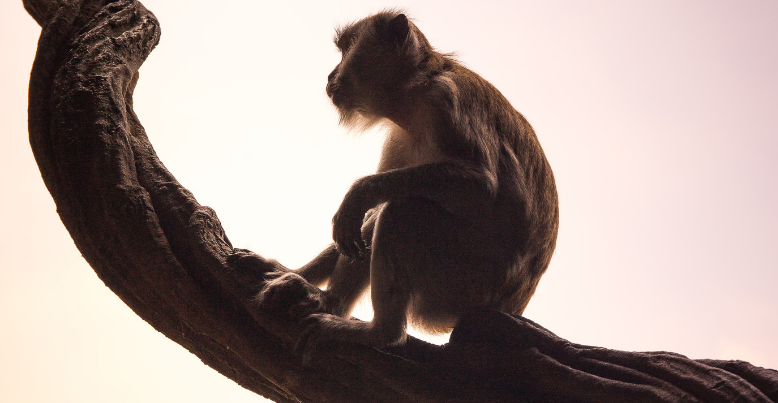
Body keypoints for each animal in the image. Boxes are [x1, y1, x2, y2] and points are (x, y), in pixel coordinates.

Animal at [258, 9, 556, 356]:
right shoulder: (398, 137)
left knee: (405, 211)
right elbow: (368, 213)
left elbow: (482, 186)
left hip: (460, 287)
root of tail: (509, 308)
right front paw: (294, 273)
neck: (416, 90)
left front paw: (358, 193)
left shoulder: (444, 101)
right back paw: (326, 299)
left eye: (348, 48)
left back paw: (372, 328)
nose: (330, 75)